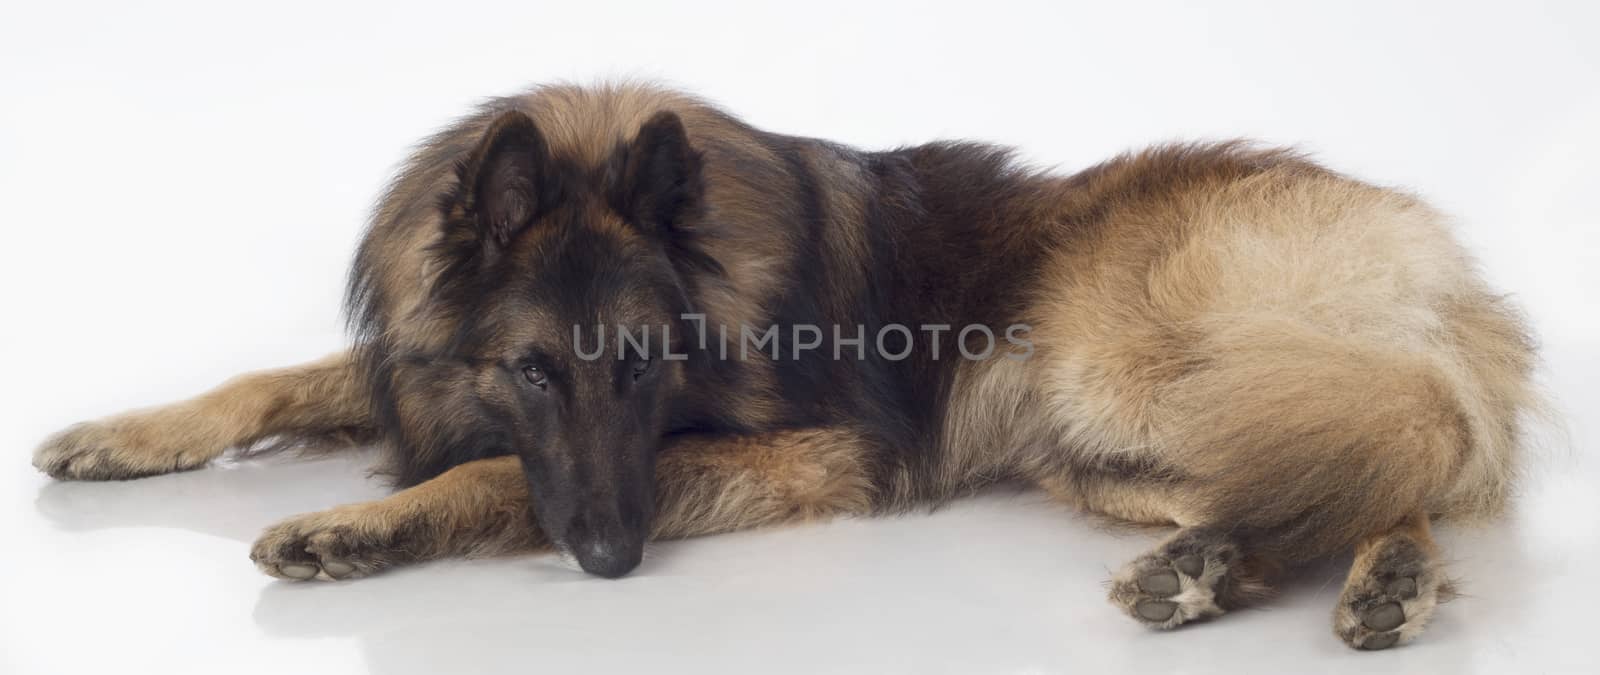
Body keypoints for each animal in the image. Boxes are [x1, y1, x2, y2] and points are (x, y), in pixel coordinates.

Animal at [34, 81, 1536, 652]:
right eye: (533, 370)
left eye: (646, 367)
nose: (612, 563)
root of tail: (1440, 256)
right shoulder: (420, 363)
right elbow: (274, 381)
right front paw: (115, 431)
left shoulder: (803, 450)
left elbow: (492, 482)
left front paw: (361, 525)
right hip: (1102, 444)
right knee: (1329, 467)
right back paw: (1221, 566)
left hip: (1132, 372)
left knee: (1388, 442)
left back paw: (1373, 577)